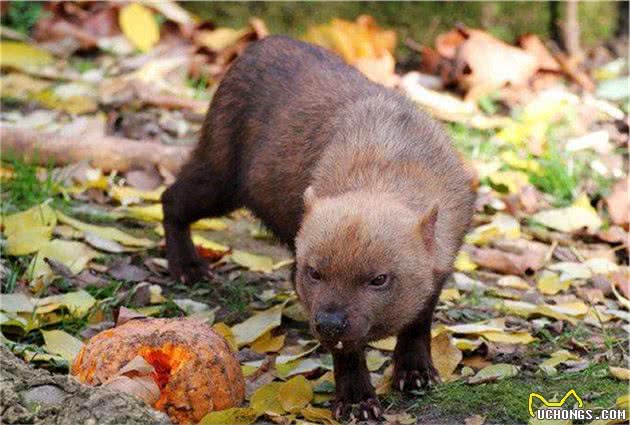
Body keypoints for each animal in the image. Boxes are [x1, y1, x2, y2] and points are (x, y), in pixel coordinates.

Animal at [163, 35, 474, 418]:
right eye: (314, 272)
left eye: (379, 279)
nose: (328, 322)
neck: (386, 166)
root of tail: (260, 43)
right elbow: (347, 350)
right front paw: (357, 402)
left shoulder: (442, 261)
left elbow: (419, 320)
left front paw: (416, 374)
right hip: (219, 178)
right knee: (170, 199)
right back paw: (187, 266)